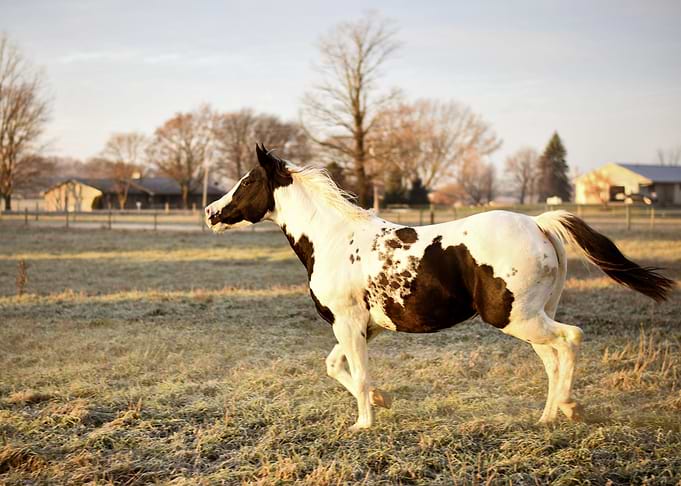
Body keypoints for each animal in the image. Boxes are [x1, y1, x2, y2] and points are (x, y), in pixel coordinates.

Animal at [204, 144, 674, 431]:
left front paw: (363, 424)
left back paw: (566, 409)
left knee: (570, 340)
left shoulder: (349, 323)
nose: (210, 212)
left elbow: (356, 373)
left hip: (517, 318)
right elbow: (336, 366)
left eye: (247, 182)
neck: (333, 240)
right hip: (531, 318)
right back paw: (549, 416)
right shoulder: (363, 327)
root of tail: (540, 224)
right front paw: (383, 400)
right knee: (553, 359)